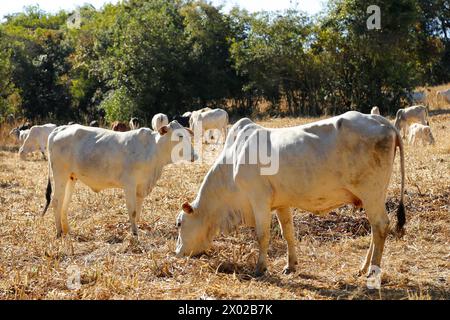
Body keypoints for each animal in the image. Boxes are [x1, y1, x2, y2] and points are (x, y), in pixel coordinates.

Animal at [42, 121, 195, 239]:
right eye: (179, 136)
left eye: (188, 135)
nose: (194, 155)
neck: (154, 151)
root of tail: (59, 129)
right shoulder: (129, 185)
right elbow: (132, 211)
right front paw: (134, 234)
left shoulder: (141, 187)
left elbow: (138, 212)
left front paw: (136, 229)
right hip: (60, 175)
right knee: (56, 201)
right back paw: (59, 232)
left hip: (71, 177)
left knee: (64, 204)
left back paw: (67, 230)